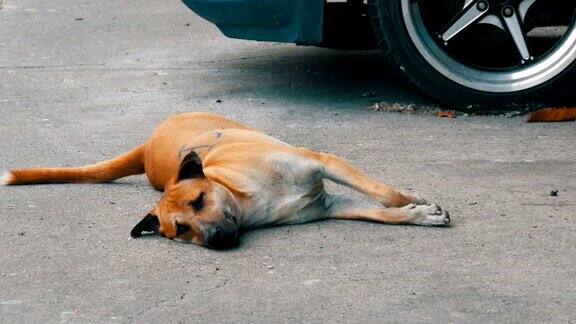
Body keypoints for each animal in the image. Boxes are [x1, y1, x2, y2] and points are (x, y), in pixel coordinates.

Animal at [1, 112, 450, 249]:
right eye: (181, 230)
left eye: (199, 200)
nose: (216, 240)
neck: (247, 198)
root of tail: (146, 149)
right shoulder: (331, 206)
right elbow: (380, 213)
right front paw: (416, 214)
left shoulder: (321, 163)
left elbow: (383, 192)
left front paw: (412, 200)